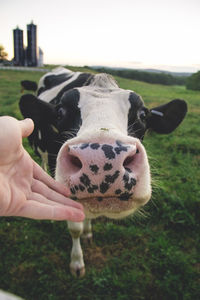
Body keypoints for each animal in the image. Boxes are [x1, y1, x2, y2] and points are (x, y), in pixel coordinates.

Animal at [18, 67, 188, 278]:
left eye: (143, 114)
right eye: (60, 111)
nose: (99, 159)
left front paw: (88, 232)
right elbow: (74, 228)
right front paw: (77, 262)